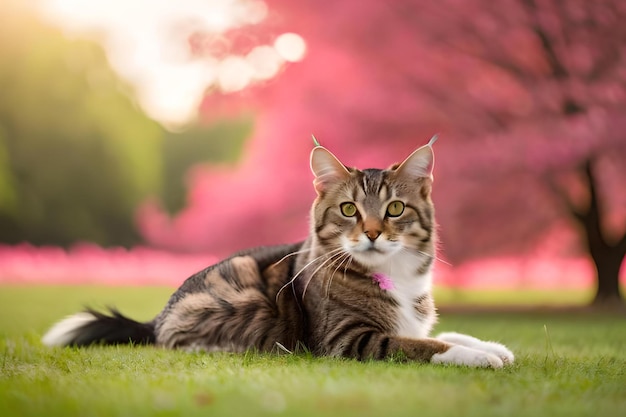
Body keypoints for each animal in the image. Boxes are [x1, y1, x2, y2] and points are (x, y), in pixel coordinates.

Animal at [42, 137, 512, 368]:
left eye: (395, 209)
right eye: (349, 209)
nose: (373, 233)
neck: (393, 274)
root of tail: (157, 317)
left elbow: (439, 334)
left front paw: (492, 345)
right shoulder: (347, 340)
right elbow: (421, 346)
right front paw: (479, 357)